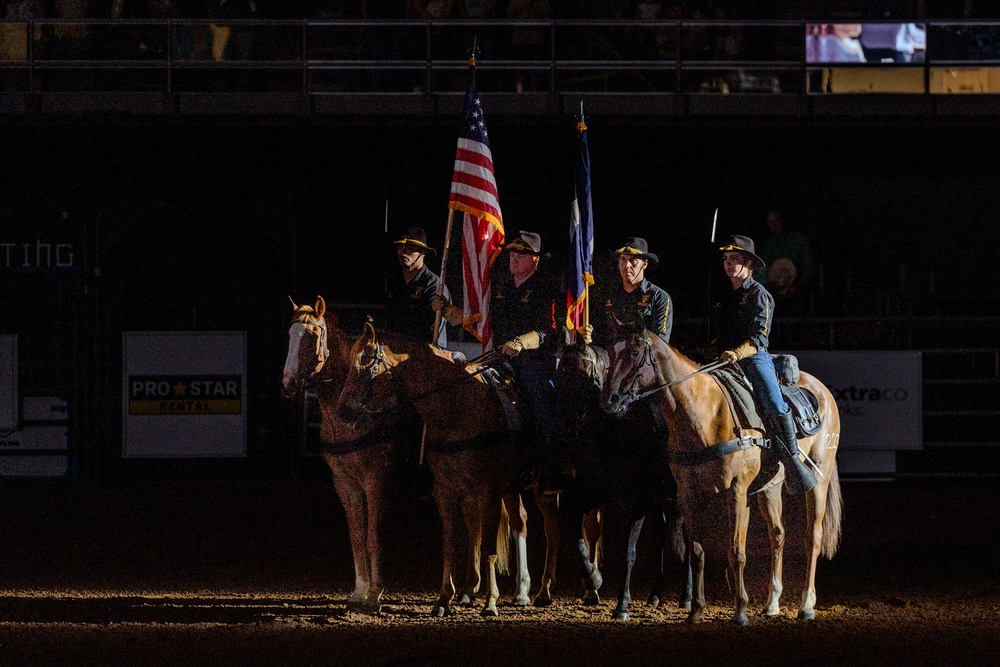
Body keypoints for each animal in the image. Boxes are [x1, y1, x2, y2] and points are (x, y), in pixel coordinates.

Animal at [280, 298, 404, 616]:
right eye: (289, 336)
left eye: (312, 337)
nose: (287, 383)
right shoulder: (344, 482)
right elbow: (357, 535)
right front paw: (360, 590)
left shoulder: (376, 479)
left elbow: (373, 535)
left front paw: (375, 594)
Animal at [336, 320, 536, 620]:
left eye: (368, 359)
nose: (342, 413)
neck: (459, 409)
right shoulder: (446, 491)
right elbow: (451, 544)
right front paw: (444, 599)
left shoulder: (489, 492)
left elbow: (489, 548)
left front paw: (490, 602)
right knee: (501, 525)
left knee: (523, 524)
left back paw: (528, 591)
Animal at [548, 342, 696, 624]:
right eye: (559, 375)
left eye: (583, 374)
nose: (560, 425)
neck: (614, 431)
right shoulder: (592, 493)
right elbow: (574, 529)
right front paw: (593, 578)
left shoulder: (635, 504)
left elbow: (629, 553)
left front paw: (622, 605)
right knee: (661, 536)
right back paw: (655, 594)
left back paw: (686, 595)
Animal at [600, 332, 844, 628]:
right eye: (611, 352)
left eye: (635, 352)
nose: (609, 400)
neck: (703, 413)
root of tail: (822, 391)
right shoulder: (686, 496)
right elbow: (696, 553)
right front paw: (695, 610)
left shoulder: (736, 492)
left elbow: (736, 551)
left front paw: (740, 611)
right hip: (770, 489)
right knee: (778, 534)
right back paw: (772, 603)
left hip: (820, 479)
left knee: (813, 537)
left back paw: (806, 605)